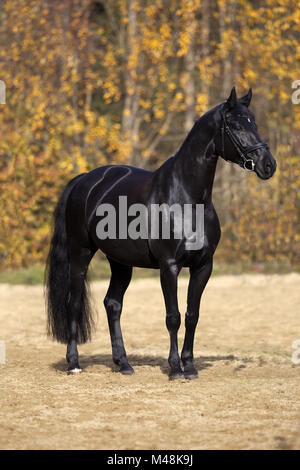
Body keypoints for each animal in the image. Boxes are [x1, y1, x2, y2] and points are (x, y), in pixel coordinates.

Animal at [46, 88, 276, 380]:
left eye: (254, 123)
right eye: (235, 126)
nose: (268, 165)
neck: (187, 198)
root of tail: (85, 179)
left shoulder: (203, 266)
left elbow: (192, 315)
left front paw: (190, 366)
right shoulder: (169, 266)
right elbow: (173, 317)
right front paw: (176, 368)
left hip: (120, 262)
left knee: (113, 304)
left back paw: (124, 364)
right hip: (80, 253)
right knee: (74, 303)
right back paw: (74, 364)